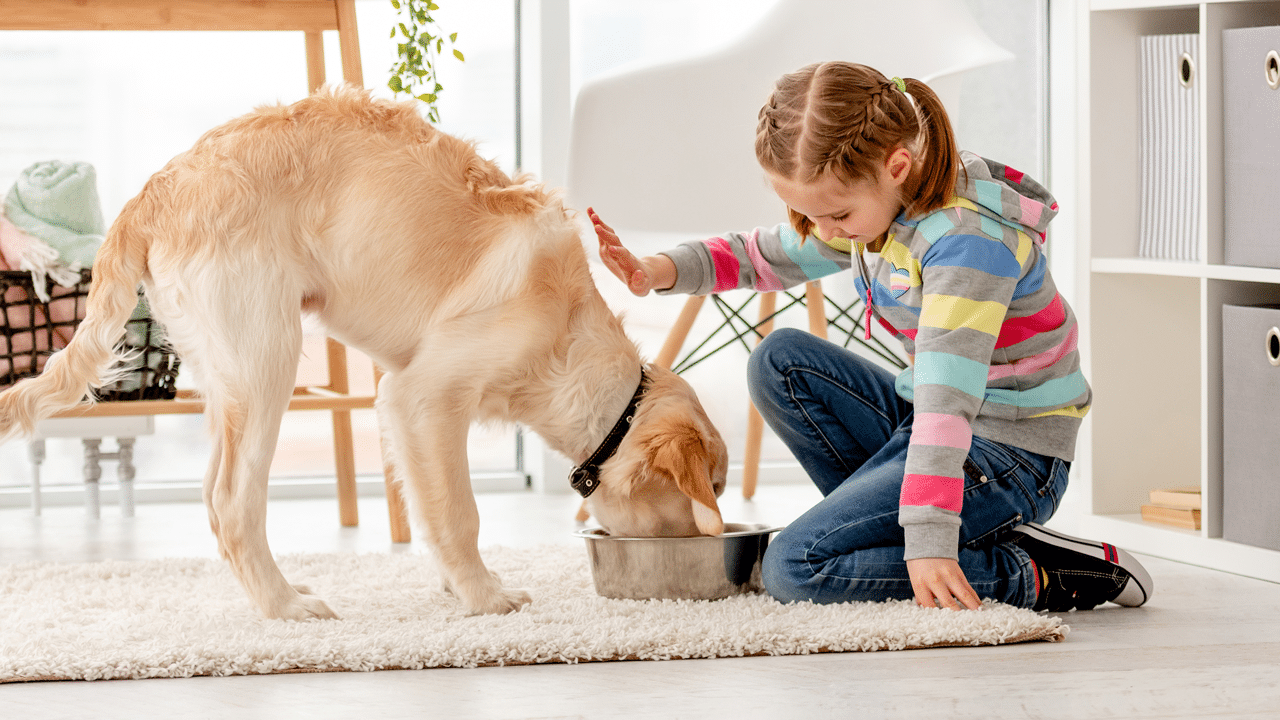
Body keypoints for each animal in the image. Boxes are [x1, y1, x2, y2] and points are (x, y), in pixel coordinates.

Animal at [0, 85, 727, 617]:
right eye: (714, 489)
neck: (570, 332)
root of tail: (160, 185)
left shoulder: (404, 407)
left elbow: (429, 502)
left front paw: (455, 584)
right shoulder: (422, 398)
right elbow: (459, 512)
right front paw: (485, 596)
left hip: (227, 372)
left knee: (213, 494)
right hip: (268, 357)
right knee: (233, 502)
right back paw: (285, 607)